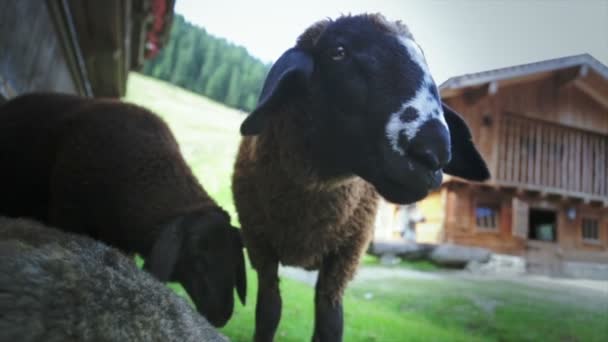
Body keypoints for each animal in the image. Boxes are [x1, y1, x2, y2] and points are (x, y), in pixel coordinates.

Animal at [230, 14, 492, 342]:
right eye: (338, 52)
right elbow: (269, 311)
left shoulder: (344, 257)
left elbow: (330, 322)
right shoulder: (260, 245)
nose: (434, 153)